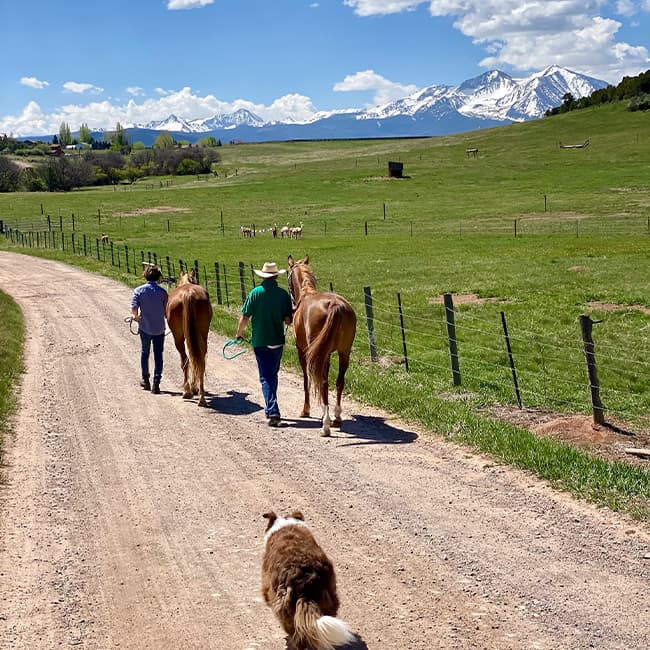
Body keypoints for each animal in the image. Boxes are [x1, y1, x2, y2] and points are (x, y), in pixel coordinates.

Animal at [166, 269, 213, 407]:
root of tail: (189, 294)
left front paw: (191, 388)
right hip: (202, 335)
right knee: (200, 361)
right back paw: (201, 398)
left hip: (178, 337)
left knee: (185, 360)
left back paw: (187, 391)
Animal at [287, 255, 356, 436]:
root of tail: (335, 305)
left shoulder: (302, 351)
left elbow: (306, 379)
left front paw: (306, 410)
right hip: (344, 352)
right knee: (339, 381)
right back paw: (337, 418)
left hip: (321, 354)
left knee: (324, 382)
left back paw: (325, 424)